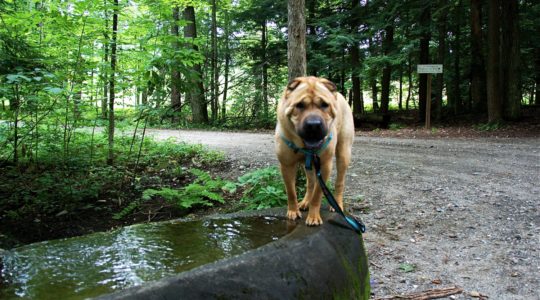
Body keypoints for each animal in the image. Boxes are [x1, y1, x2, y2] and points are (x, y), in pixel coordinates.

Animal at [274, 76, 354, 226]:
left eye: (324, 105)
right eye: (300, 105)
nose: (313, 125)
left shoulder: (325, 165)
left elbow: (318, 194)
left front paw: (313, 217)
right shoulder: (286, 165)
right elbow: (291, 191)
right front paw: (293, 211)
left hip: (343, 153)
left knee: (339, 182)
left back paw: (337, 204)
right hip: (309, 165)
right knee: (310, 183)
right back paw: (306, 202)